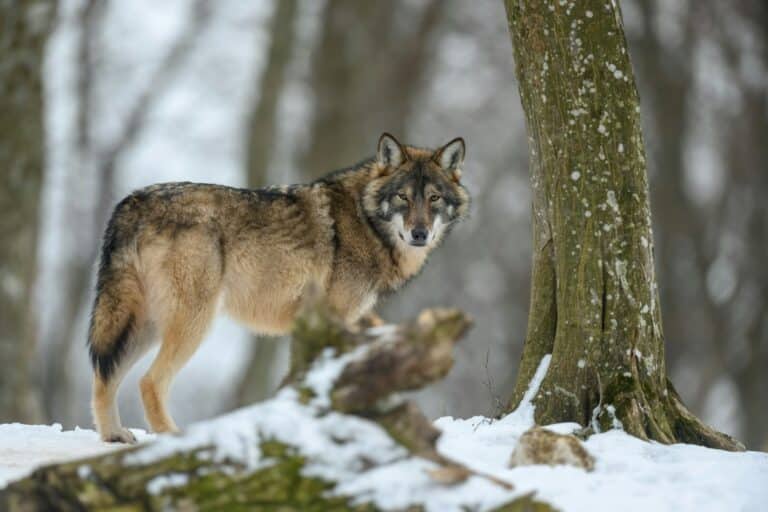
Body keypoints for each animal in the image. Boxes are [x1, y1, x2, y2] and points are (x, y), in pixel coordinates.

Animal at [88, 133, 470, 443]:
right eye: (403, 197)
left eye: (434, 198)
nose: (419, 234)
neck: (366, 220)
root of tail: (131, 202)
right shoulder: (333, 318)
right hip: (192, 321)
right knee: (149, 382)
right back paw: (170, 437)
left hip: (143, 324)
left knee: (104, 377)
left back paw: (114, 436)